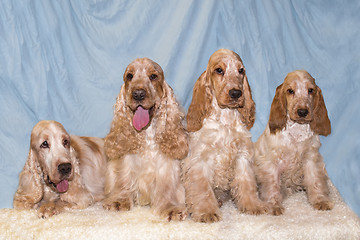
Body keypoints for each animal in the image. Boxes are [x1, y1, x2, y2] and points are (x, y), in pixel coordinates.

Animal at [103, 58, 190, 221]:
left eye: (153, 76)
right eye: (129, 76)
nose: (138, 94)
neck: (147, 132)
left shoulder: (167, 165)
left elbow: (167, 186)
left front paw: (170, 208)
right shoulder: (126, 160)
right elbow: (123, 179)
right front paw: (119, 201)